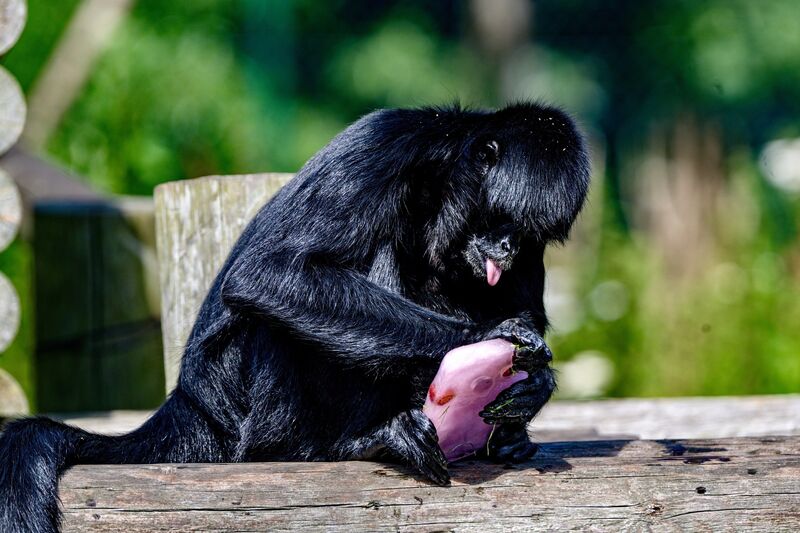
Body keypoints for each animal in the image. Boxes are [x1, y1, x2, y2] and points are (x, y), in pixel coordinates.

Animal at [0, 102, 589, 532]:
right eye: (502, 218)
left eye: (528, 233)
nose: (509, 246)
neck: (439, 180)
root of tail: (191, 404)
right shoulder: (383, 146)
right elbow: (265, 275)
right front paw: (490, 341)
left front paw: (534, 386)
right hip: (246, 401)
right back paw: (356, 442)